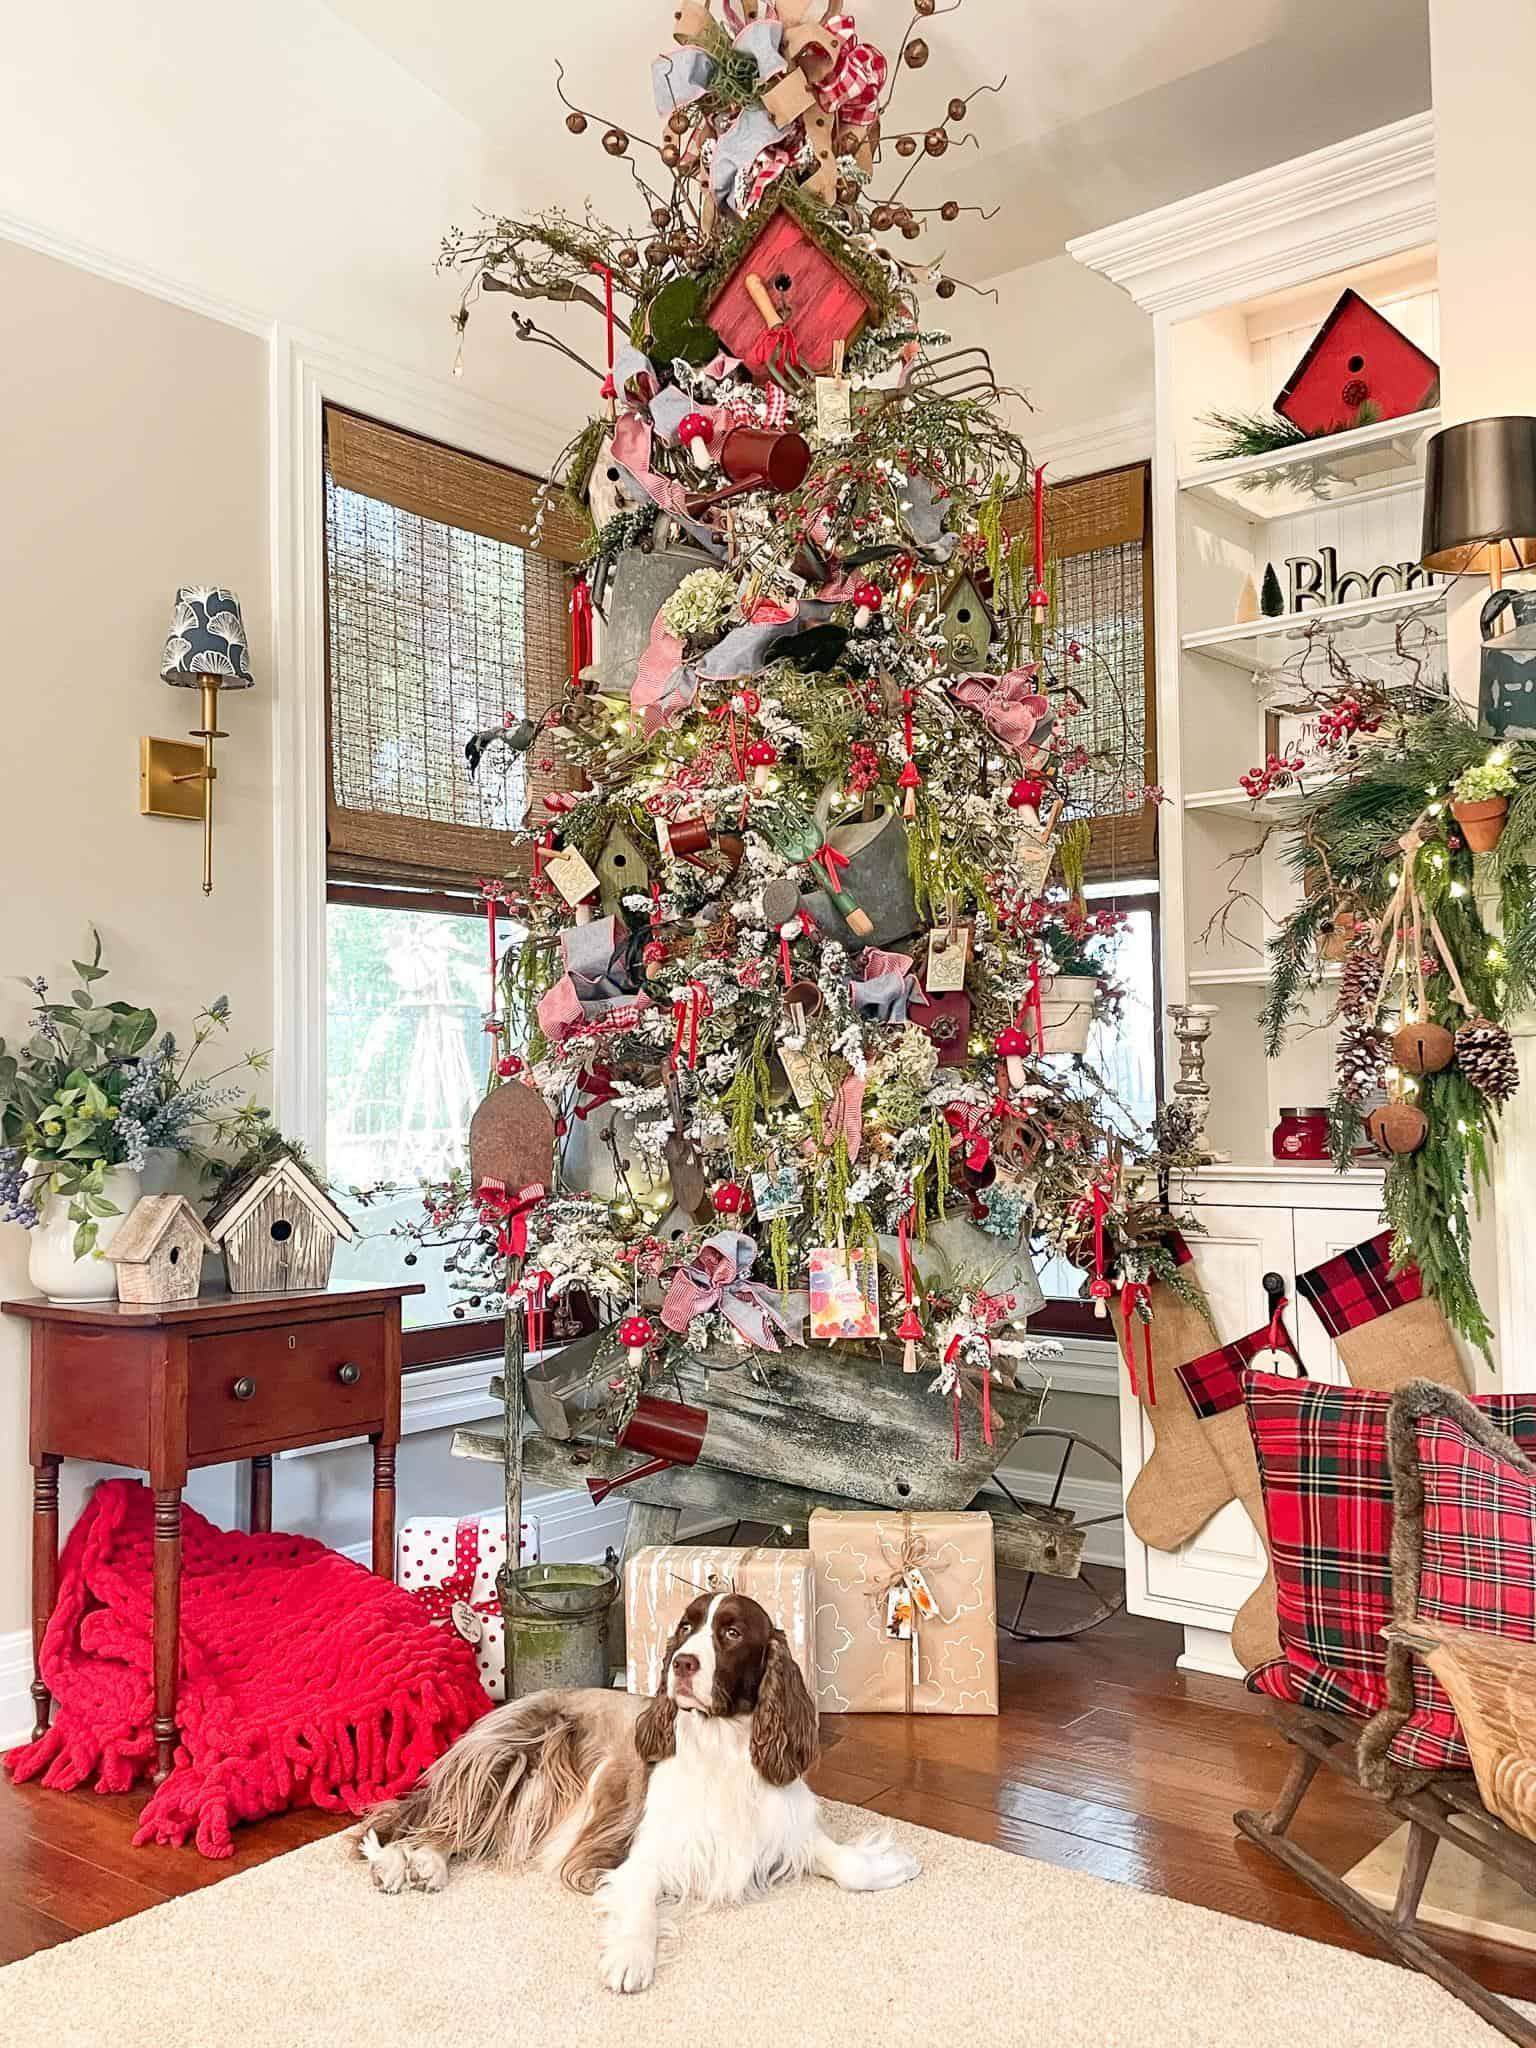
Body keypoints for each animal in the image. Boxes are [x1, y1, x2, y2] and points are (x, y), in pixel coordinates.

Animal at [364, 1589, 913, 1990]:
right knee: (434, 1819)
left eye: (732, 1632)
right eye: (686, 1628)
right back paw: (415, 1863)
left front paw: (892, 1866)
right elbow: (642, 1904)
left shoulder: (780, 1827)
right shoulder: (641, 1855)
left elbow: (844, 1864)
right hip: (517, 1751)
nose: (683, 1664)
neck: (720, 1746)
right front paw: (630, 1959)